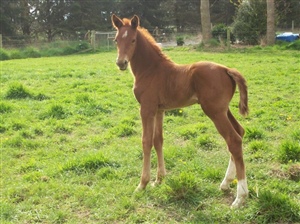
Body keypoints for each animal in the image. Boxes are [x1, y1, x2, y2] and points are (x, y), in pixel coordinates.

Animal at [112, 14, 248, 208]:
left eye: (133, 40)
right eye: (116, 40)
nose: (121, 63)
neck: (151, 70)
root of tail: (226, 69)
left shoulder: (146, 109)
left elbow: (146, 142)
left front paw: (142, 184)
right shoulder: (159, 110)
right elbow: (158, 140)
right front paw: (159, 180)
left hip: (214, 112)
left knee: (233, 140)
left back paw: (240, 197)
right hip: (224, 110)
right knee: (240, 133)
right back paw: (225, 183)